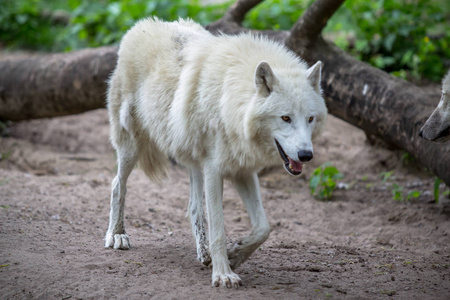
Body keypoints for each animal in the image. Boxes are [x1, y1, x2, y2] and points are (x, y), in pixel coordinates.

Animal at [103, 17, 326, 288]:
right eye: (285, 118)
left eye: (310, 119)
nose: (306, 155)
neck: (230, 102)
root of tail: (142, 25)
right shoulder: (214, 170)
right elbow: (219, 229)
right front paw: (223, 274)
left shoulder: (242, 170)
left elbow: (263, 228)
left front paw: (236, 254)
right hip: (132, 145)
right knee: (117, 184)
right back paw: (117, 235)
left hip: (191, 160)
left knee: (194, 207)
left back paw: (203, 253)